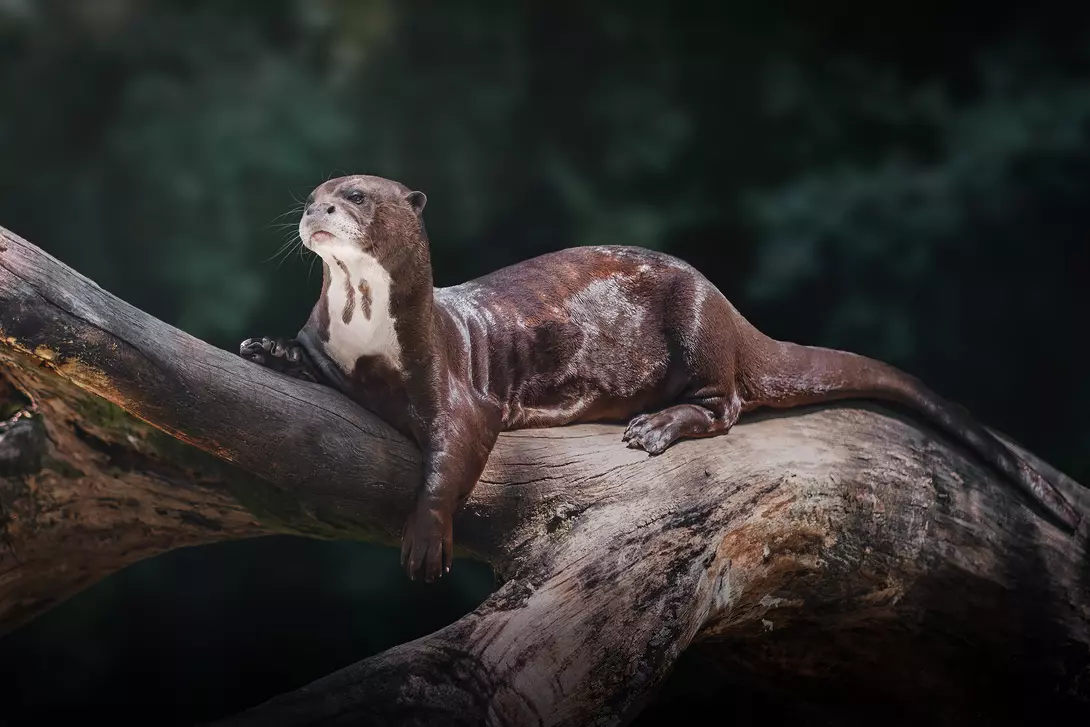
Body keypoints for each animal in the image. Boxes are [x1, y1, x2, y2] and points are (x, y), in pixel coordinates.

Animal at [240, 174, 1080, 582]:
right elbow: (303, 355)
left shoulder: (453, 384)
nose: (314, 208)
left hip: (698, 327)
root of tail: (731, 307)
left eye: (354, 195)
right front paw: (261, 346)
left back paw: (653, 426)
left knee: (728, 403)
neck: (365, 333)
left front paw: (424, 538)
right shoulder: (328, 345)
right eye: (315, 192)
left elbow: (451, 454)